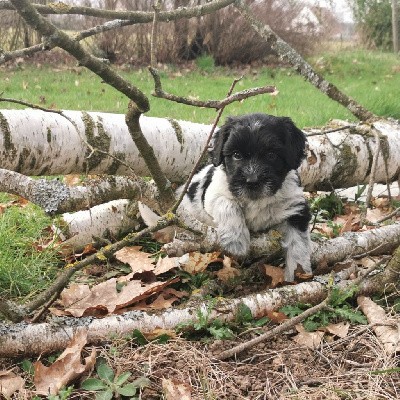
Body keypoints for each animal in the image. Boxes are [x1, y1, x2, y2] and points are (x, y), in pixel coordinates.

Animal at [178, 112, 312, 282]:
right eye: (236, 155)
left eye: (271, 155)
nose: (252, 181)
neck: (256, 200)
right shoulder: (213, 194)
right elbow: (227, 203)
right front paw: (235, 241)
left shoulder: (295, 207)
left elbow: (298, 243)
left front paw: (298, 274)